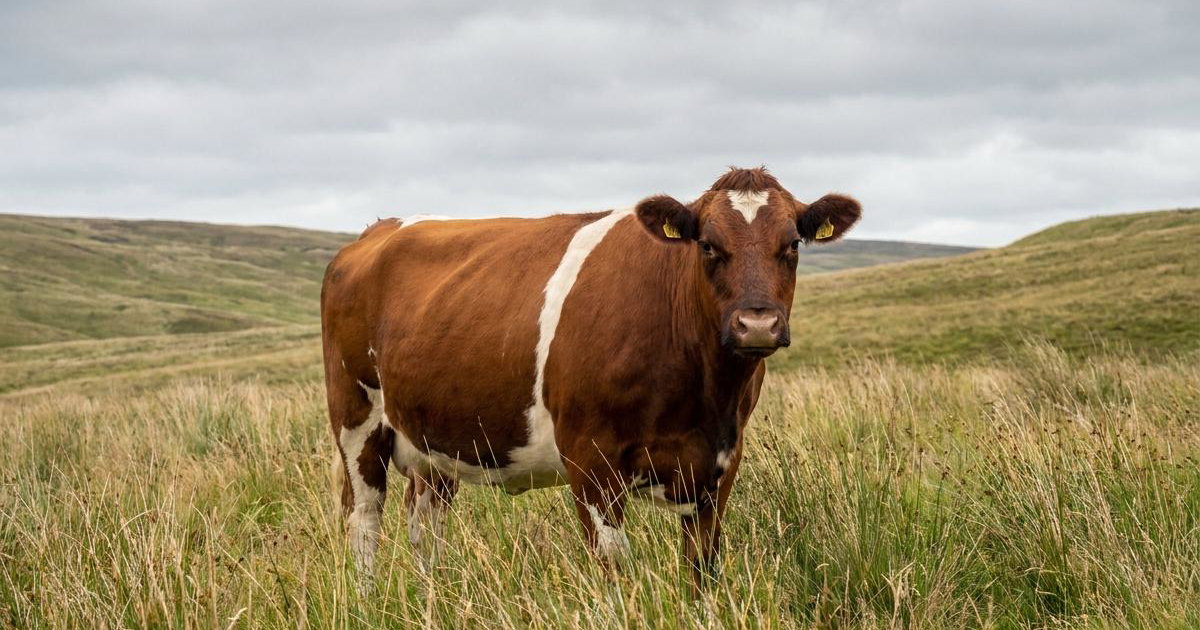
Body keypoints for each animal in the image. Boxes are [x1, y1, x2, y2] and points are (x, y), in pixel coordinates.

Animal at [320, 167, 861, 590]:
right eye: (708, 246)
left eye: (792, 244)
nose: (757, 324)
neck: (701, 395)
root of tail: (375, 231)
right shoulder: (590, 458)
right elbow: (614, 567)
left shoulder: (721, 462)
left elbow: (701, 569)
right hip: (356, 419)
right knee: (363, 517)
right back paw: (368, 601)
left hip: (436, 443)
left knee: (425, 525)